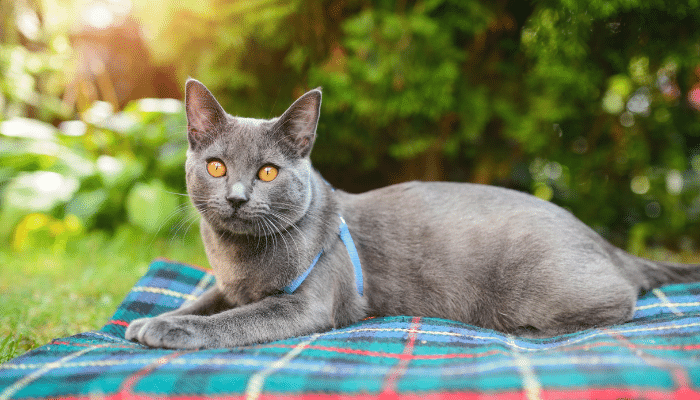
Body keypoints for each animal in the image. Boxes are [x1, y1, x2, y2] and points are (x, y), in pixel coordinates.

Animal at [126, 78, 700, 346]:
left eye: (267, 172)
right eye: (217, 167)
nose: (238, 198)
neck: (237, 256)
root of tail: (605, 242)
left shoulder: (303, 306)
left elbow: (237, 319)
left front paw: (169, 331)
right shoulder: (226, 285)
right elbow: (204, 301)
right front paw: (152, 320)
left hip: (542, 285)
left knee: (620, 303)